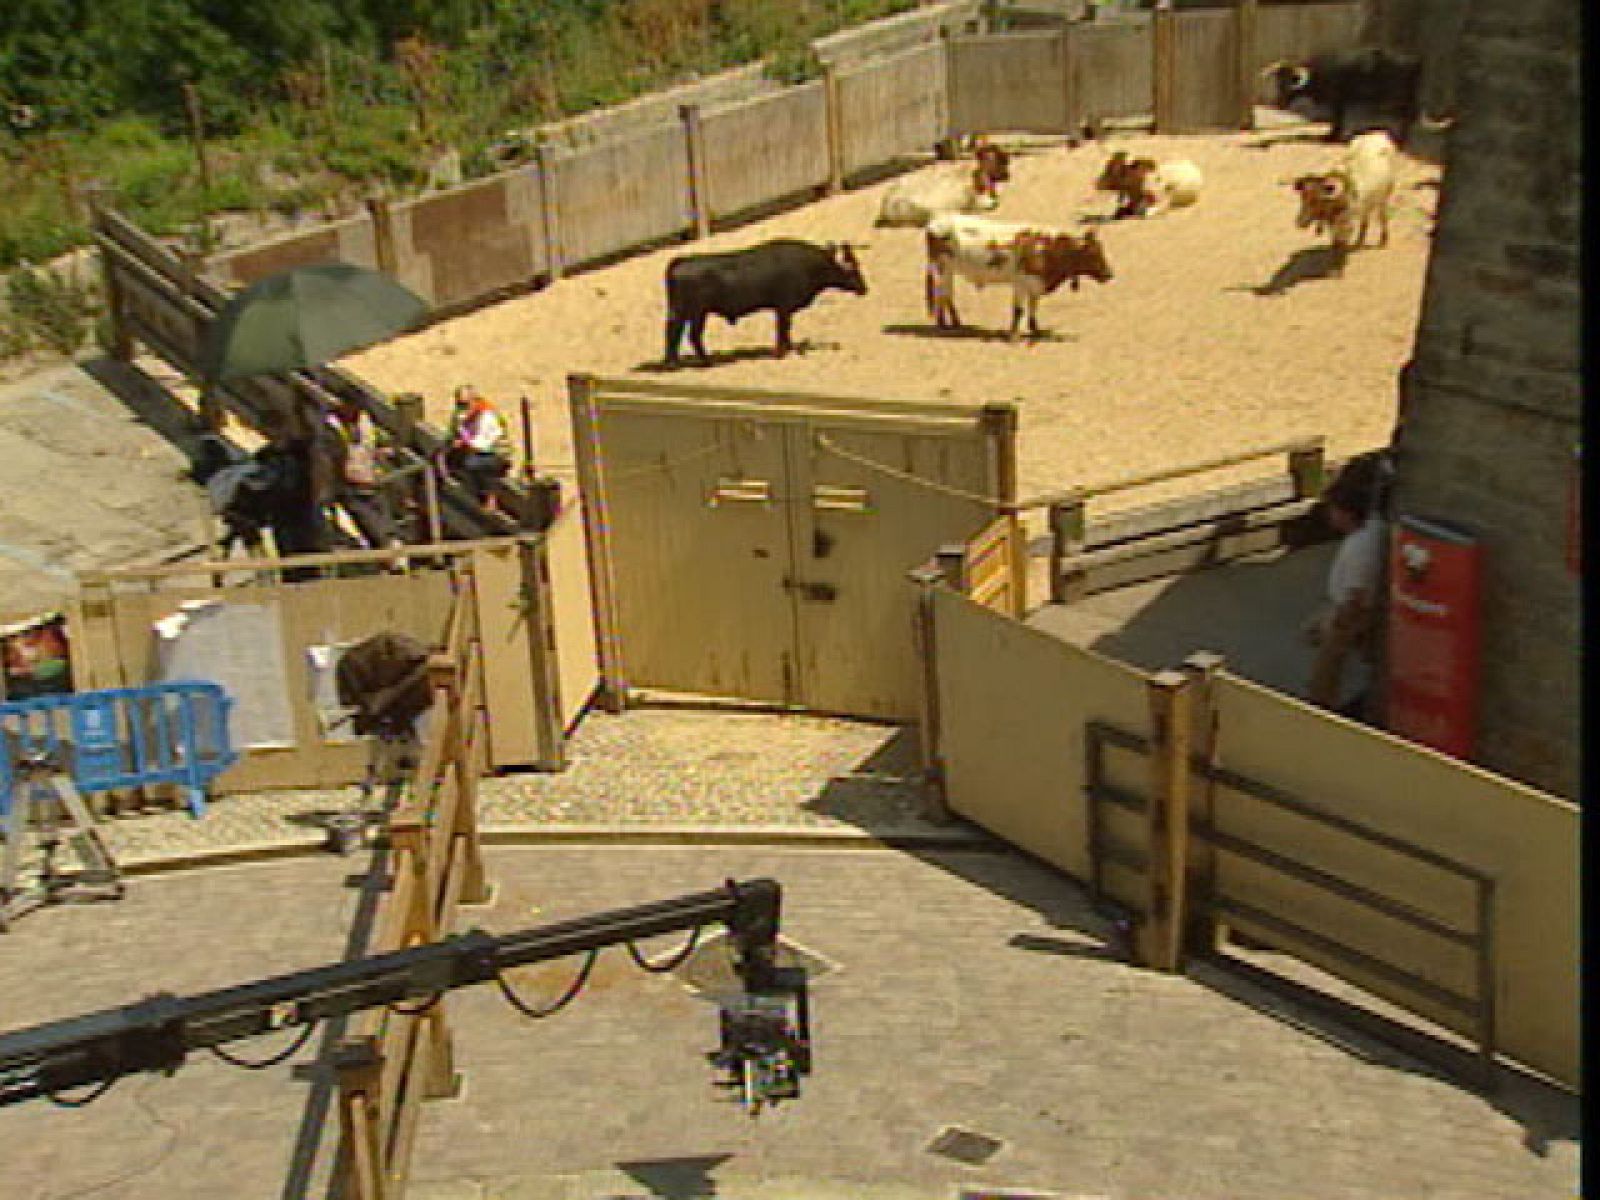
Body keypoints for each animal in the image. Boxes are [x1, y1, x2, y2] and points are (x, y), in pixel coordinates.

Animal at [659, 236, 870, 364]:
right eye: (853, 269)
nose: (864, 289)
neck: (810, 265)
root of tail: (680, 262)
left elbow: (786, 331)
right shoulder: (783, 308)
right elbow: (783, 329)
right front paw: (781, 353)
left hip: (683, 312)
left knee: (673, 332)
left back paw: (674, 362)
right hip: (697, 313)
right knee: (692, 335)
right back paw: (706, 362)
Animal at [928, 211, 1113, 340]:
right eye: (1093, 253)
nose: (1109, 274)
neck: (1046, 248)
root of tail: (935, 222)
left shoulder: (1035, 284)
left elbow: (1033, 308)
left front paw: (1036, 330)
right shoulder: (1021, 283)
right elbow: (1018, 310)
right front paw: (1014, 336)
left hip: (948, 269)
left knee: (946, 294)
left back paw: (954, 323)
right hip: (942, 267)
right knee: (942, 292)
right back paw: (944, 324)